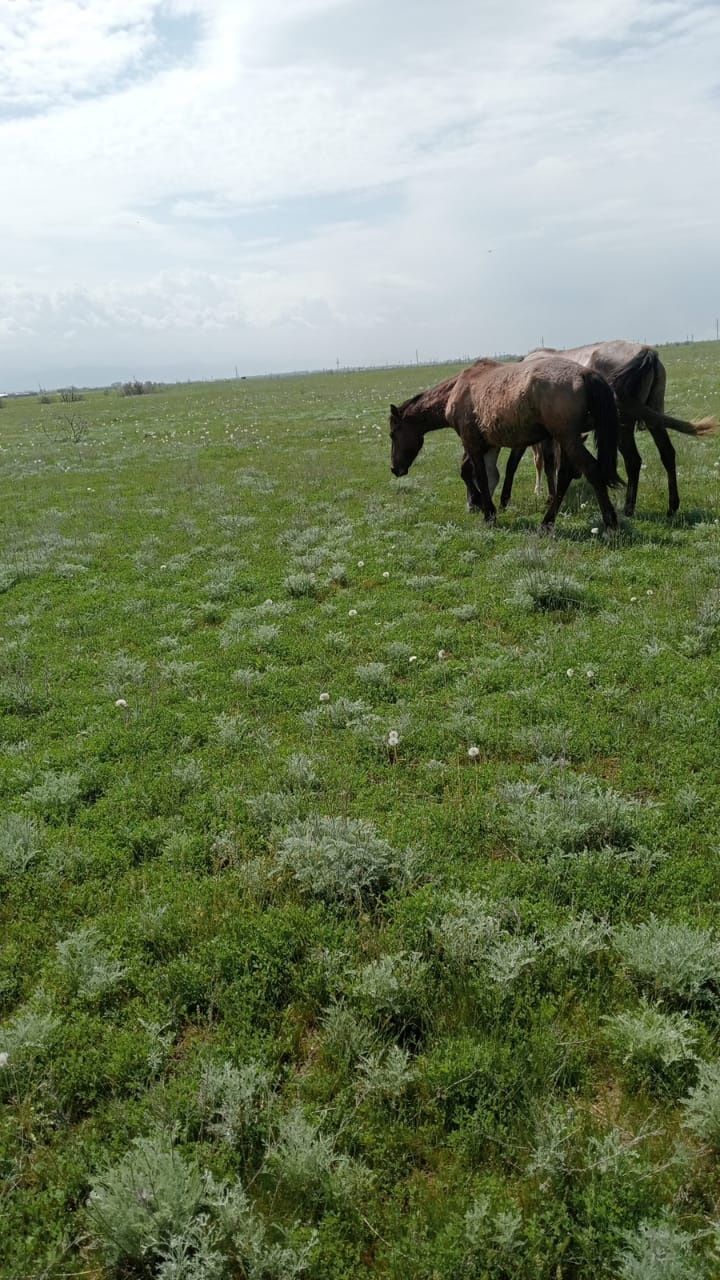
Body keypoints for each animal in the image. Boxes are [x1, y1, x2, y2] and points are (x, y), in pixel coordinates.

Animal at [389, 355, 620, 529]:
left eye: (393, 434)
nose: (394, 469)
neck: (458, 389)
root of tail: (584, 373)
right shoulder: (489, 445)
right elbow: (491, 474)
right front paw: (485, 503)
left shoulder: (472, 443)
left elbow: (477, 475)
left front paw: (486, 510)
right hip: (566, 441)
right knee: (564, 475)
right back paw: (547, 522)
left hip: (567, 438)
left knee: (591, 470)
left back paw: (610, 523)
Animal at [499, 345, 717, 519]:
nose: (577, 474)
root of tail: (647, 352)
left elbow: (527, 463)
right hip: (653, 415)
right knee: (666, 454)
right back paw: (671, 507)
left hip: (623, 426)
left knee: (633, 460)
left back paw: (629, 508)